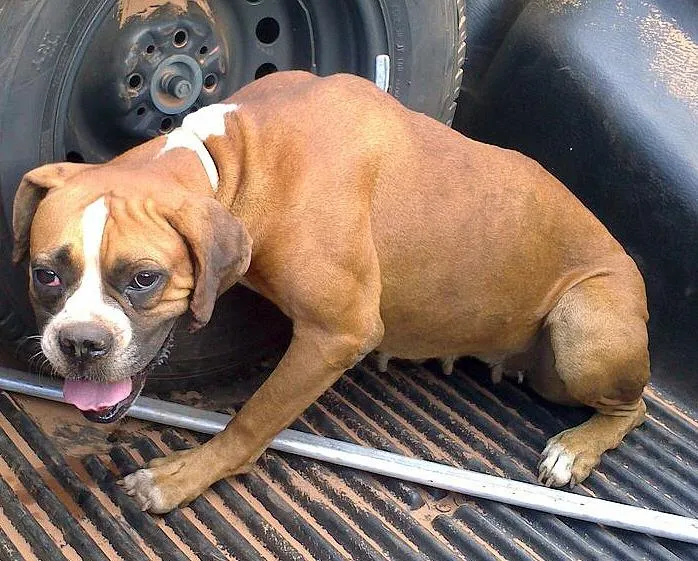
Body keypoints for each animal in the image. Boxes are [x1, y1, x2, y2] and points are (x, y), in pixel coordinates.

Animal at [10, 70, 648, 512]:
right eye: (46, 274)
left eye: (145, 278)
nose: (80, 343)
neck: (238, 155)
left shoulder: (336, 334)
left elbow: (252, 419)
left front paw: (184, 477)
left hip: (582, 333)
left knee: (634, 408)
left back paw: (577, 448)